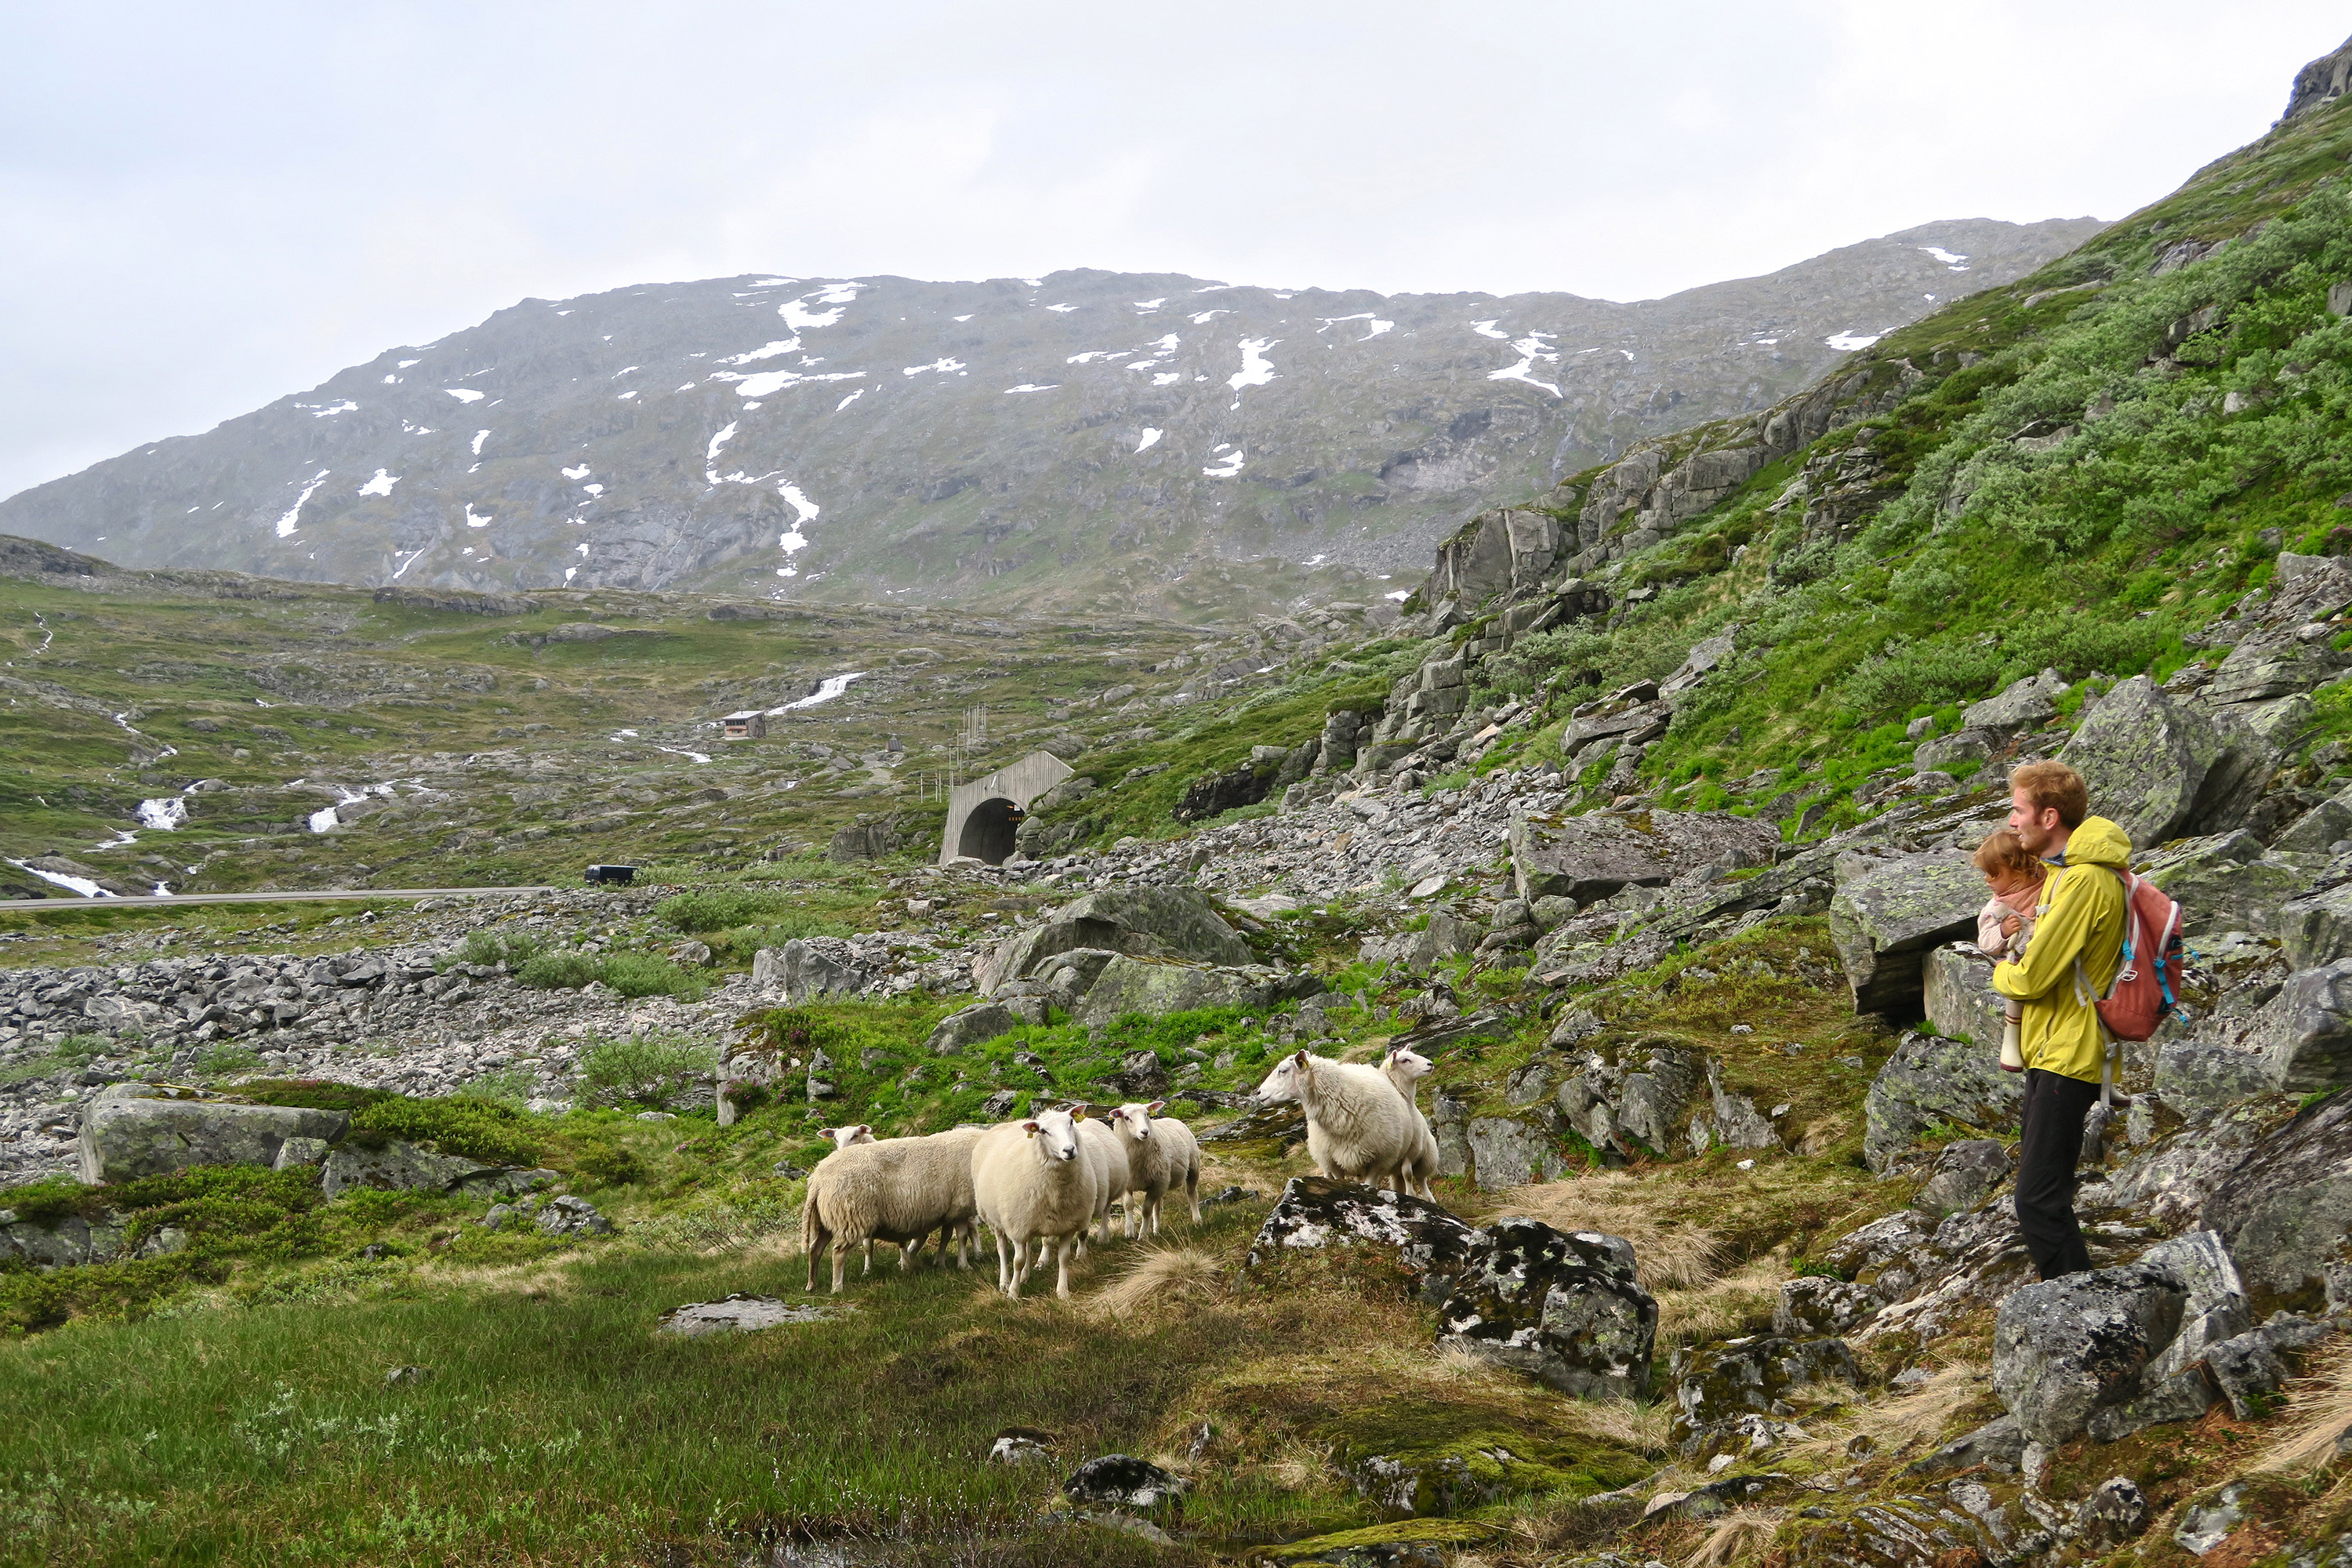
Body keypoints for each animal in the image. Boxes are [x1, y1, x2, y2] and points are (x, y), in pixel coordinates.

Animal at [804, 1128, 988, 1298]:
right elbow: (962, 1237)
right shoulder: (960, 1206)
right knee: (838, 1253)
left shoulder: (950, 1210)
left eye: (855, 1135)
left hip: (828, 1219)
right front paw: (964, 1266)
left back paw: (812, 1285)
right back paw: (837, 1288)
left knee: (815, 1249)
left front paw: (941, 1264)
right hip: (851, 1216)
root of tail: (818, 1179)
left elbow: (948, 1236)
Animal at [964, 1105, 1101, 1298]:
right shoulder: (1017, 1227)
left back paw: (1025, 1276)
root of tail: (1005, 1124)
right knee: (1002, 1249)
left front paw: (1062, 1291)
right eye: (1043, 1131)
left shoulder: (1067, 1225)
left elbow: (1063, 1258)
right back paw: (1004, 1282)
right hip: (994, 1218)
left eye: (1071, 1122)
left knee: (1028, 1246)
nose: (1069, 1150)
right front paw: (1013, 1293)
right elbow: (1018, 1261)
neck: (1057, 1192)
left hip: (1029, 1216)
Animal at [1110, 1105, 1204, 1241]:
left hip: (1192, 1167)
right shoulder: (1129, 1184)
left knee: (1192, 1194)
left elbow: (1146, 1210)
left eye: (1147, 1114)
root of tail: (1172, 1118)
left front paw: (1142, 1235)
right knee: (1157, 1205)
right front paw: (1129, 1232)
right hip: (1161, 1181)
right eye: (1126, 1117)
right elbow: (1128, 1205)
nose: (1145, 1132)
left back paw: (1197, 1221)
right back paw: (1156, 1230)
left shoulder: (1156, 1184)